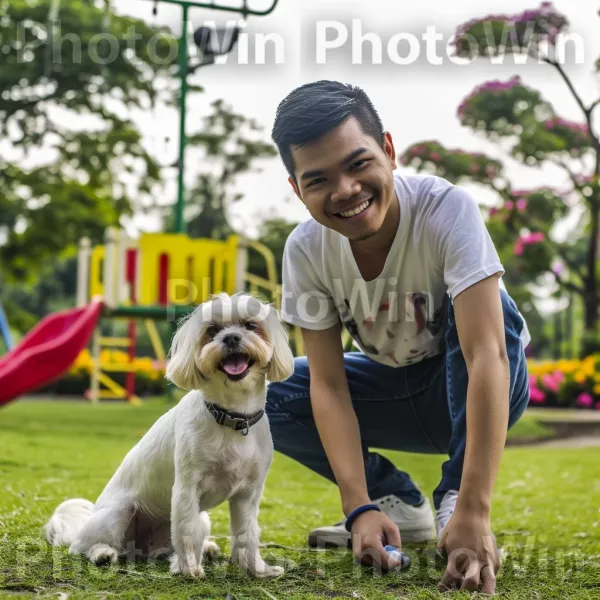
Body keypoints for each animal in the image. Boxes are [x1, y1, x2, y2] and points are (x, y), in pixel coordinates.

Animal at [44, 292, 296, 580]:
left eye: (251, 326)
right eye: (211, 331)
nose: (231, 337)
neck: (231, 417)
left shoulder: (248, 494)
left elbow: (247, 533)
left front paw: (256, 569)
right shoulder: (187, 487)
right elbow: (186, 529)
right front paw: (190, 569)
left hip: (200, 519)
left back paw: (205, 548)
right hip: (118, 513)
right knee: (83, 546)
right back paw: (103, 554)